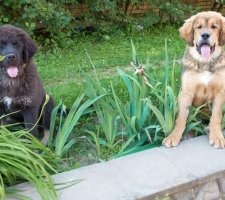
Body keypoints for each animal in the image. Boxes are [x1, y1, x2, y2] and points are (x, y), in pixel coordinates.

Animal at [163, 11, 225, 148]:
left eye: (214, 27)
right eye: (198, 27)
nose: (205, 35)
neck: (205, 62)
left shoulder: (220, 92)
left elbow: (216, 117)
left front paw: (217, 136)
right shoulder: (186, 92)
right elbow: (181, 118)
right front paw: (174, 136)